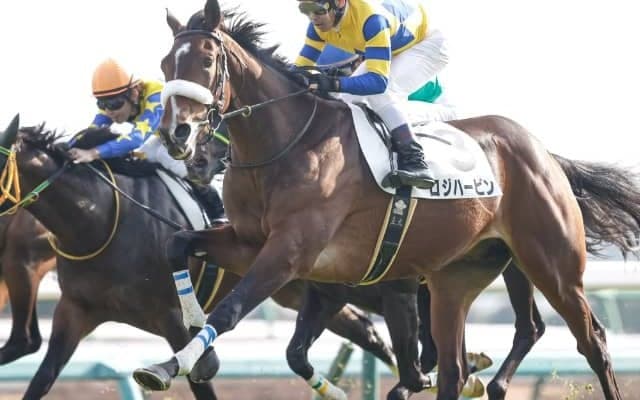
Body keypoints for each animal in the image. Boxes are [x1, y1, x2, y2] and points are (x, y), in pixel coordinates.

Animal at [133, 2, 640, 398]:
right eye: (165, 63)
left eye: (205, 60)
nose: (177, 135)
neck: (285, 142)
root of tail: (543, 151)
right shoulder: (252, 243)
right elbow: (179, 244)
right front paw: (189, 347)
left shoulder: (291, 252)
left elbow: (232, 308)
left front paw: (171, 364)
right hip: (457, 276)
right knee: (454, 367)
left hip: (551, 263)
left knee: (592, 341)